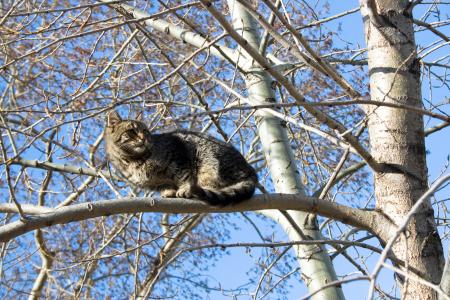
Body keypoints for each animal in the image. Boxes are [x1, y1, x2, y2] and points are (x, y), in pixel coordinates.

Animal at [102, 110, 256, 206]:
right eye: (132, 131)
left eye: (145, 132)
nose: (144, 138)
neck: (132, 160)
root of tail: (251, 172)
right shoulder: (153, 183)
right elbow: (165, 184)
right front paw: (169, 191)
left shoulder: (177, 156)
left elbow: (184, 175)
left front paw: (185, 188)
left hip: (211, 160)